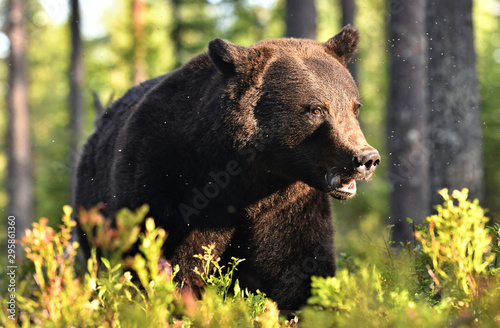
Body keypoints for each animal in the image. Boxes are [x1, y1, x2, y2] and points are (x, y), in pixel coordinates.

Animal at [74, 25, 378, 310]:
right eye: (316, 109)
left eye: (355, 106)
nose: (365, 158)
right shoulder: (164, 181)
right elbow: (168, 262)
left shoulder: (288, 205)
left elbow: (299, 267)